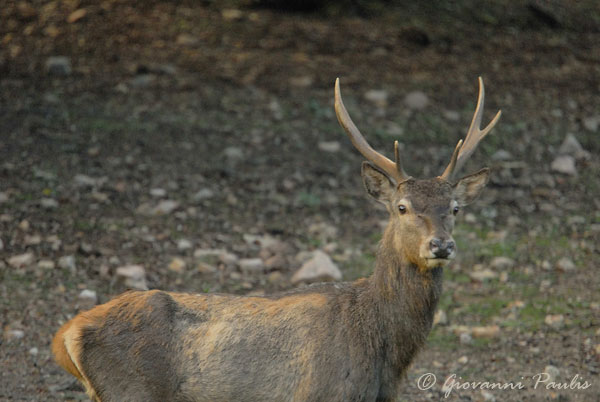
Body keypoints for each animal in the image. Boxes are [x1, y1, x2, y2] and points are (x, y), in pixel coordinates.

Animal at [51, 77, 502, 400]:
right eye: (402, 207)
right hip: (132, 391)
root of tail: (66, 334)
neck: (385, 356)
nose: (440, 245)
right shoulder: (321, 393)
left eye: (455, 209)